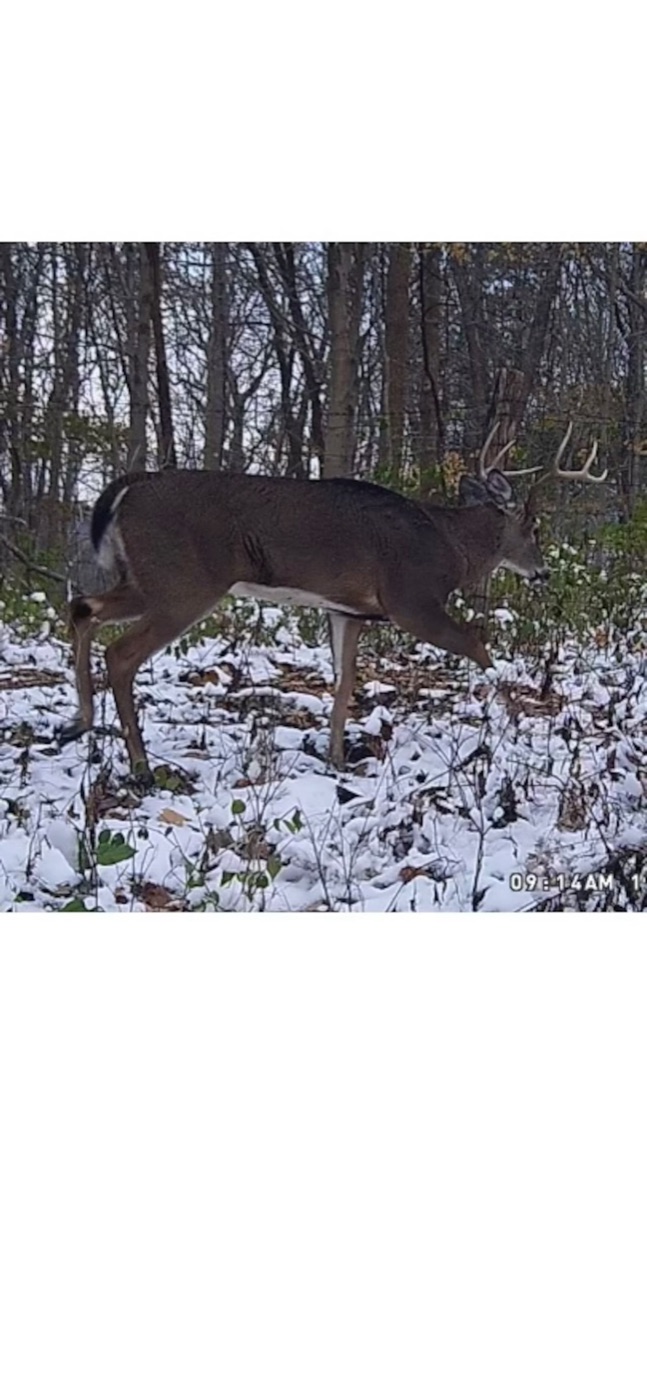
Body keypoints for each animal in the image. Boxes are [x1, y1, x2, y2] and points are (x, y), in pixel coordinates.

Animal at [58, 422, 604, 781]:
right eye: (533, 527)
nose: (543, 572)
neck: (450, 545)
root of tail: (133, 486)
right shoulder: (411, 598)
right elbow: (478, 645)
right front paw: (511, 719)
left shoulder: (347, 609)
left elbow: (343, 686)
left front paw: (337, 759)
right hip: (184, 583)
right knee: (120, 653)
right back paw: (141, 766)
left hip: (146, 579)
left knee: (82, 606)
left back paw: (80, 722)